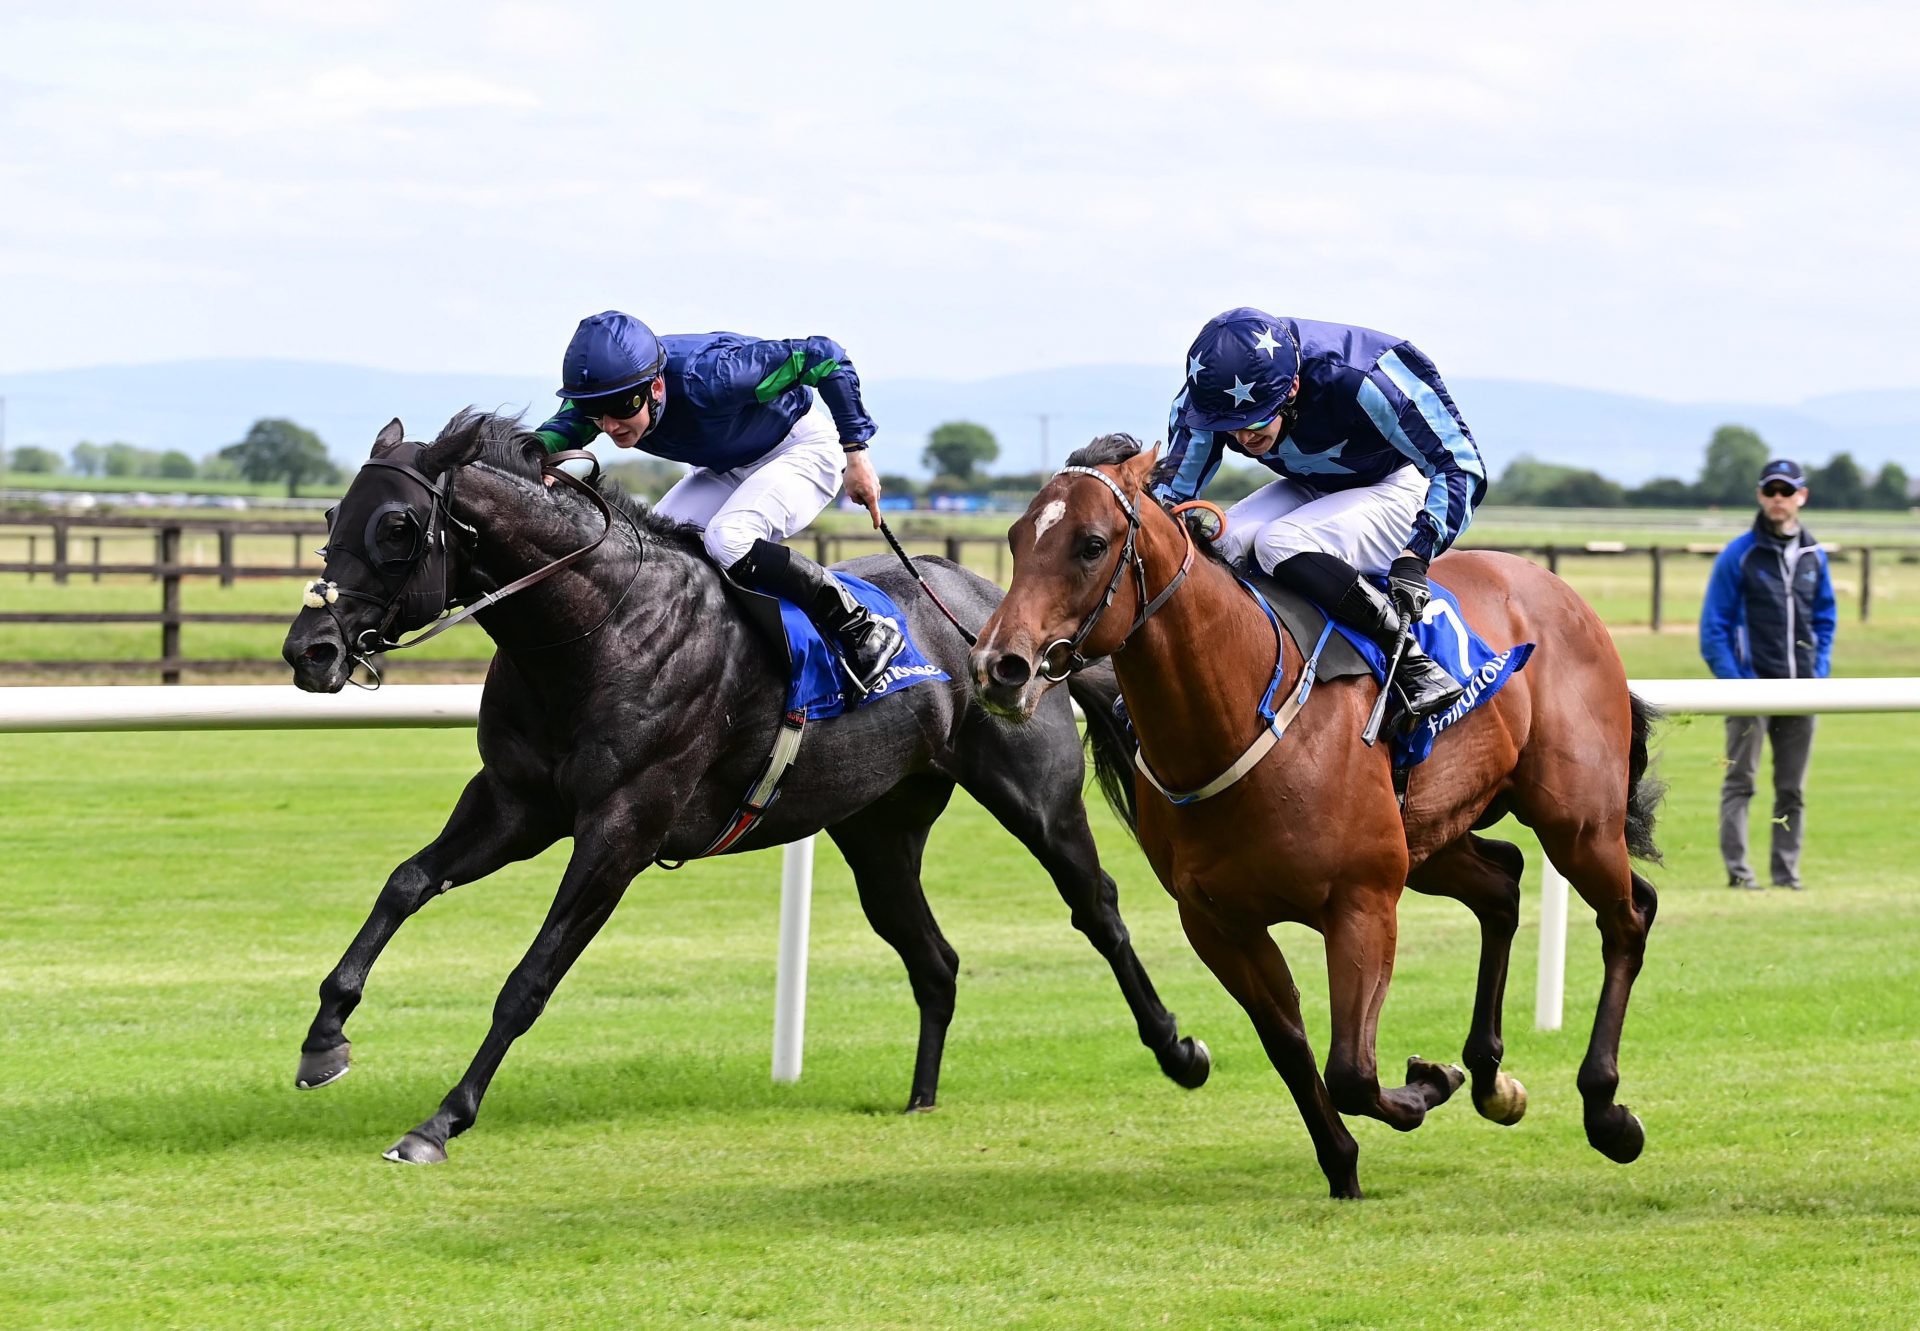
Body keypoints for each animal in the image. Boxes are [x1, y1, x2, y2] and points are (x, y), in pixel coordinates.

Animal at [278, 411, 1205, 1160]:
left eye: (398, 525)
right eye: (329, 516)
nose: (309, 649)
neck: (595, 626)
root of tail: (1014, 630)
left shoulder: (622, 827)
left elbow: (530, 977)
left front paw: (440, 1120)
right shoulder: (514, 801)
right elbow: (406, 882)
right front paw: (325, 1035)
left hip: (1037, 800)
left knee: (1097, 908)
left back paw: (1178, 1050)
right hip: (879, 831)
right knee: (933, 957)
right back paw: (920, 1099)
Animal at [967, 434, 1658, 1190]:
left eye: (1091, 544)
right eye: (1017, 537)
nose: (999, 666)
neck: (1239, 711)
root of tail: (1557, 588)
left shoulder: (1361, 901)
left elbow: (1352, 1070)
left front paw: (1426, 1084)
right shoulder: (1217, 923)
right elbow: (1290, 1048)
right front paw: (1345, 1166)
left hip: (1576, 821)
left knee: (1627, 916)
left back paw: (1606, 1111)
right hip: (1429, 840)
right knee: (1503, 883)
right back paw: (1490, 1079)